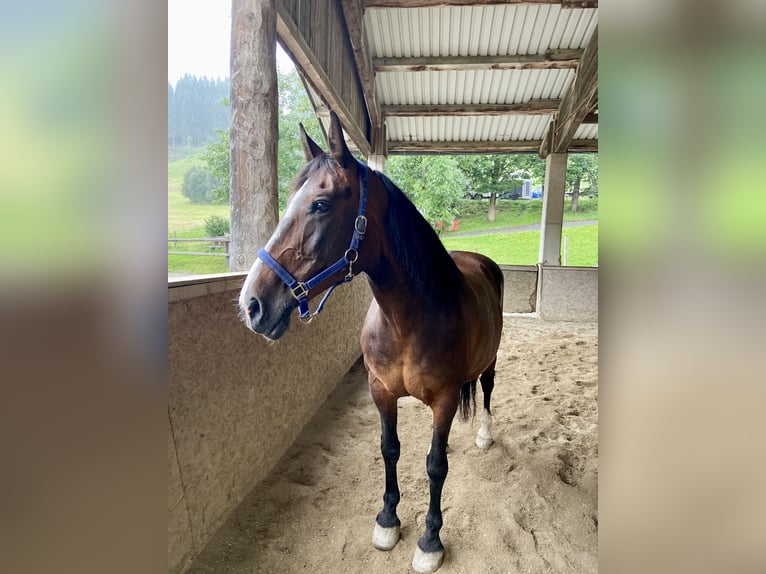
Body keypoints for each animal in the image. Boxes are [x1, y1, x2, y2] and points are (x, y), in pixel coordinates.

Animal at [238, 111, 504, 573]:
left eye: (321, 204)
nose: (252, 304)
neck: (408, 322)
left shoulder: (445, 398)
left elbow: (435, 466)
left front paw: (430, 541)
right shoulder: (381, 391)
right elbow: (390, 449)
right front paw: (387, 521)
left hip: (490, 362)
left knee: (486, 390)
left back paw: (485, 435)